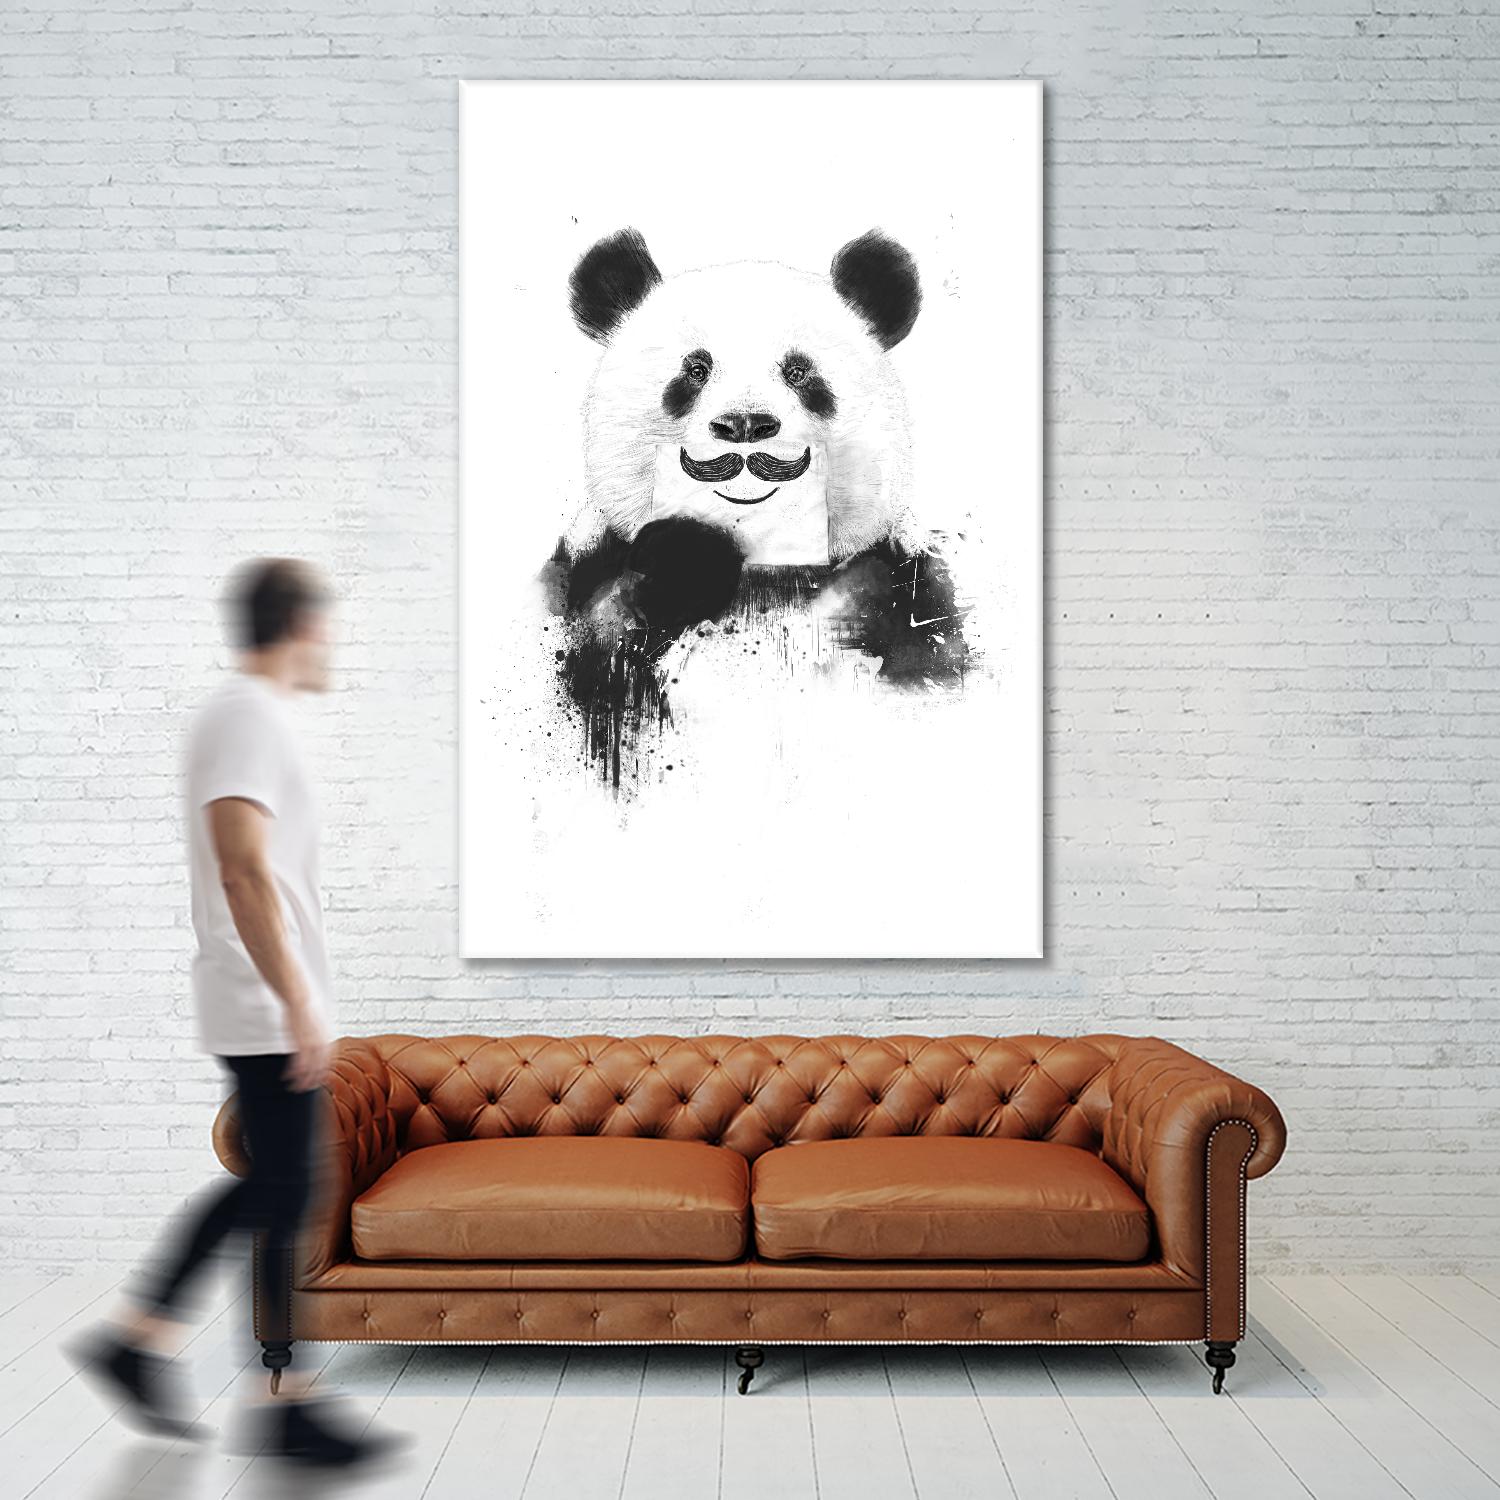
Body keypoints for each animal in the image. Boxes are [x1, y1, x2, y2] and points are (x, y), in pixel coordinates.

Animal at [541, 226, 968, 787]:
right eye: (696, 369)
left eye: (799, 371)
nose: (745, 424)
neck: (762, 567)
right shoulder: (583, 575)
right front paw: (685, 559)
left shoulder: (898, 583)